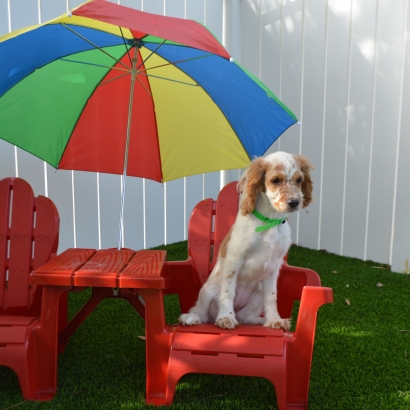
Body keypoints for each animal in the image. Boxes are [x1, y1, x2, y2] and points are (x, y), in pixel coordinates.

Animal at [178, 152, 312, 332]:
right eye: (276, 180)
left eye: (299, 180)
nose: (294, 202)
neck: (270, 221)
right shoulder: (235, 259)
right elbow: (228, 292)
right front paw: (226, 318)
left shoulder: (274, 266)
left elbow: (272, 297)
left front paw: (275, 320)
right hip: (208, 291)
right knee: (202, 313)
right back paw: (192, 317)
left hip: (257, 294)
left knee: (245, 316)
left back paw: (259, 320)